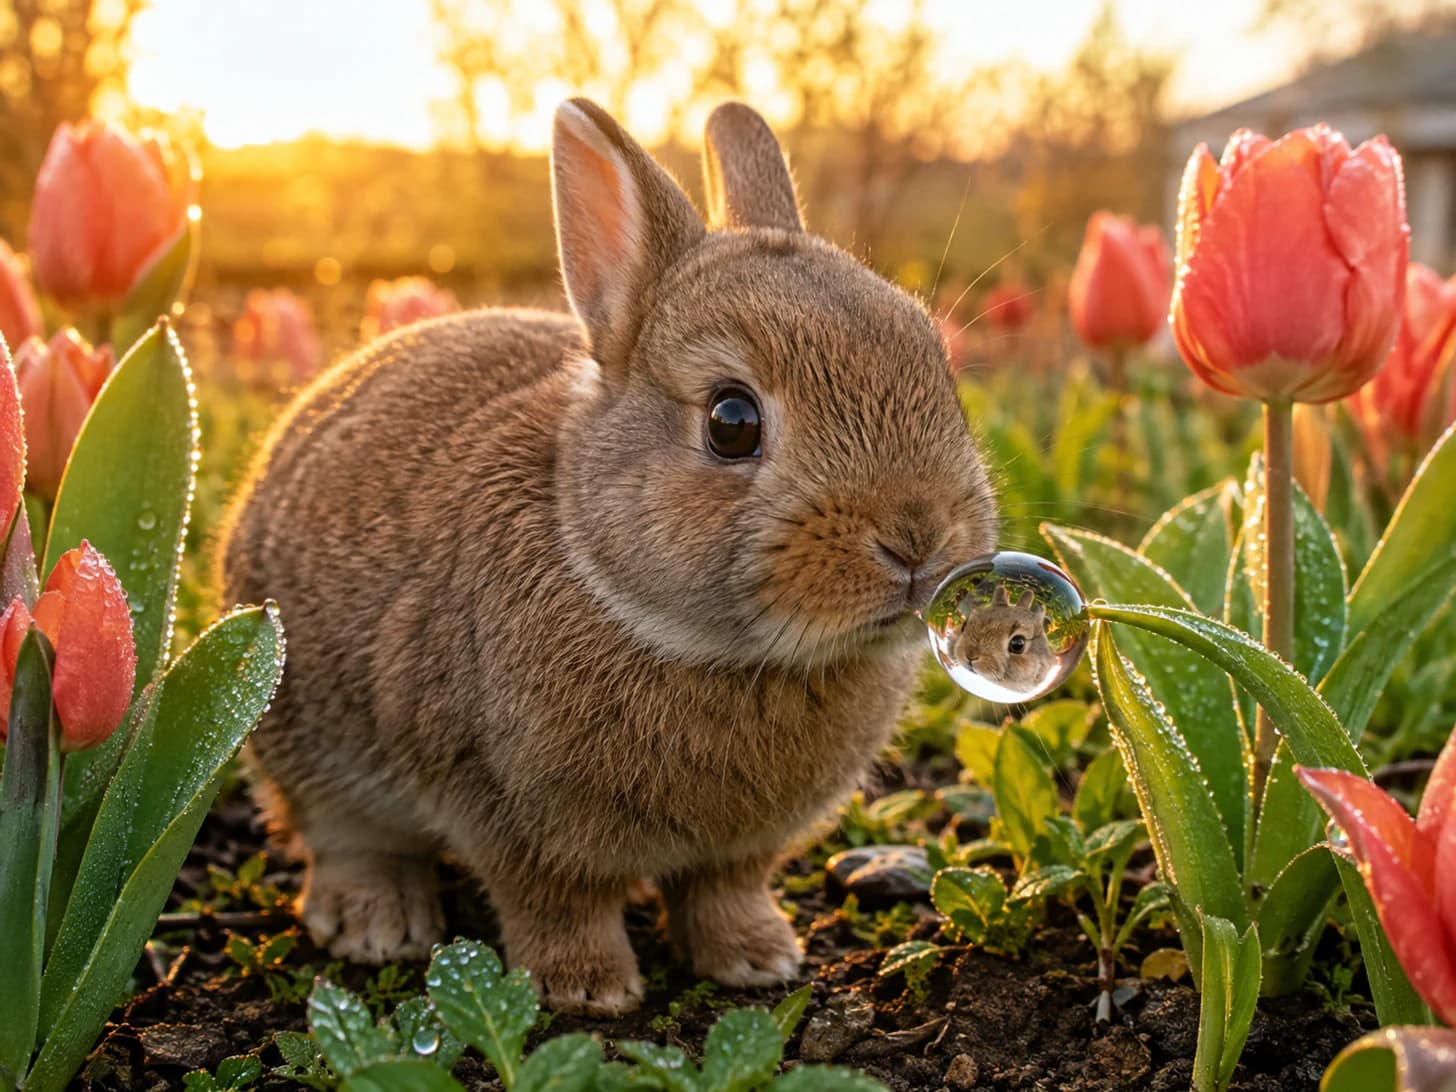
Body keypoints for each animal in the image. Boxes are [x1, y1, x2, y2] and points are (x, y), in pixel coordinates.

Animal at [220, 98, 997, 1016]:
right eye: (732, 422)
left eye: (939, 370)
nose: (918, 538)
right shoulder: (509, 812)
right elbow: (555, 903)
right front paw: (587, 990)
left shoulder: (742, 849)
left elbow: (725, 890)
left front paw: (758, 959)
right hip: (305, 734)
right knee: (344, 837)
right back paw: (378, 928)